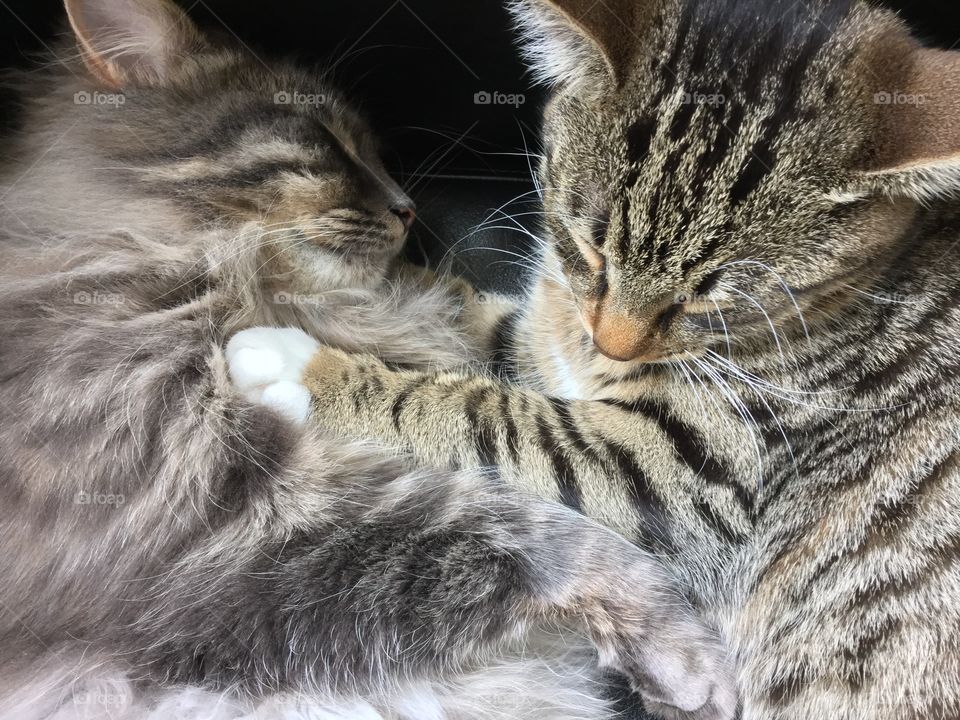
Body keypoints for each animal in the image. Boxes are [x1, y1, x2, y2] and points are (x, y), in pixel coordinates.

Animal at [0, 1, 736, 720]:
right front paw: (685, 649)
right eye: (323, 140)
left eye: (379, 153)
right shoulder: (218, 499)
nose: (408, 209)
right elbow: (529, 528)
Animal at [236, 1, 960, 720]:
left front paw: (301, 365)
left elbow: (489, 414)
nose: (613, 344)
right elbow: (476, 322)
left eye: (710, 298)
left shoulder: (686, 472)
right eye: (591, 250)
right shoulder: (547, 327)